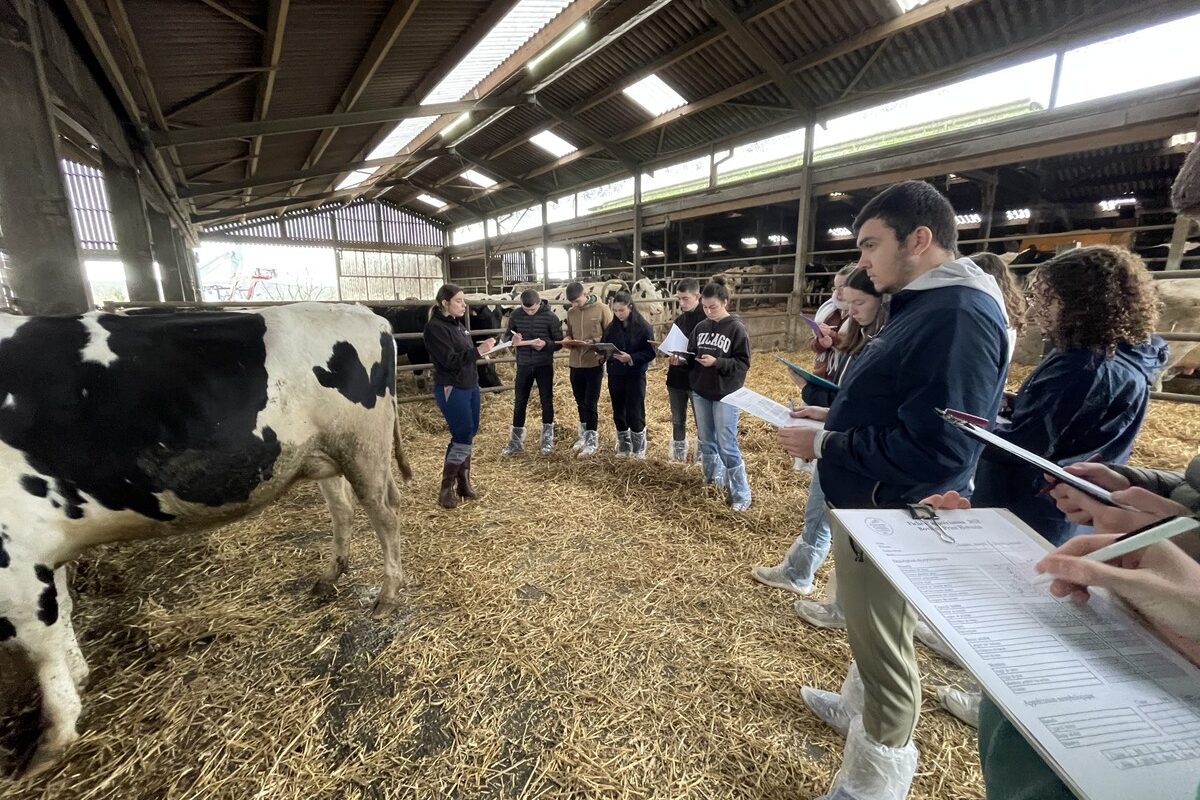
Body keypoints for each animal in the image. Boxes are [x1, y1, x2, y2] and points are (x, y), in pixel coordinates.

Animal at [0, 299, 412, 777]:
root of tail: (364, 312)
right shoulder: (44, 551)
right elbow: (62, 613)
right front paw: (79, 677)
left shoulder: (16, 557)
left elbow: (40, 643)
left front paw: (53, 734)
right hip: (326, 455)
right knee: (343, 509)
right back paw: (331, 577)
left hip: (362, 447)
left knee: (385, 515)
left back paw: (387, 595)